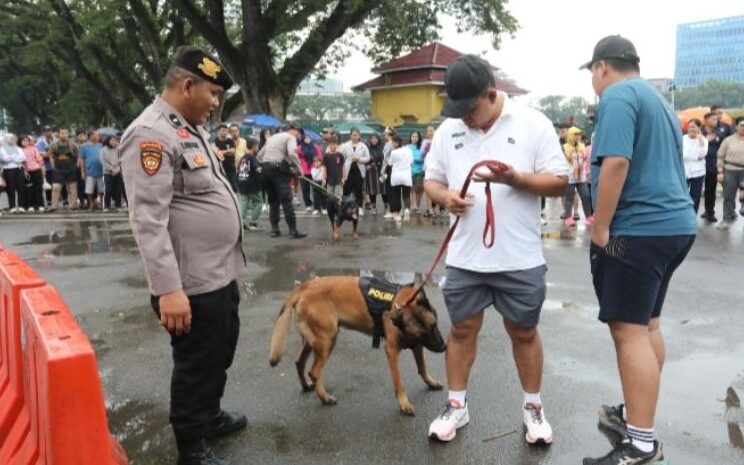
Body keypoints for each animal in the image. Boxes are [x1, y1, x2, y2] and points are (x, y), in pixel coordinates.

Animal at [272, 276, 448, 414]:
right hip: (327, 340)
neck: (401, 303)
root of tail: (305, 287)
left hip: (313, 342)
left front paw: (431, 382)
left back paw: (306, 387)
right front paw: (404, 404)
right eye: (424, 333)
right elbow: (399, 382)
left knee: (299, 363)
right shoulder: (392, 351)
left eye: (434, 326)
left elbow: (422, 368)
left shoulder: (417, 345)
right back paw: (325, 398)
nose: (443, 347)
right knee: (314, 372)